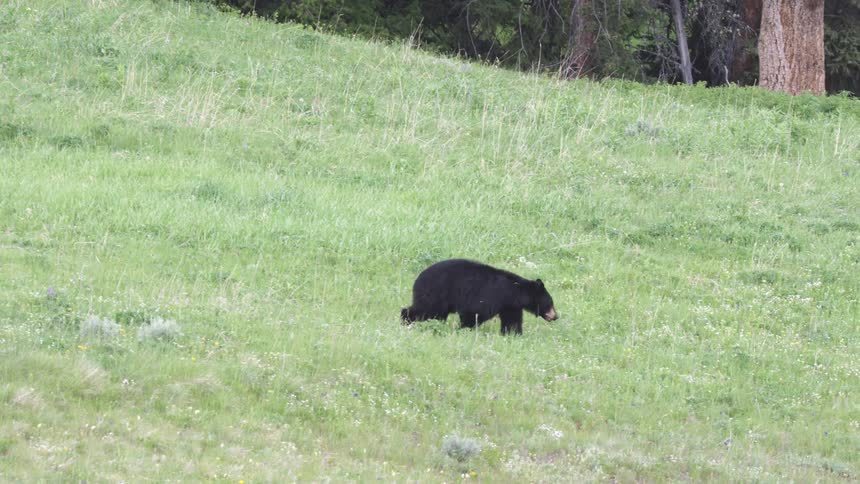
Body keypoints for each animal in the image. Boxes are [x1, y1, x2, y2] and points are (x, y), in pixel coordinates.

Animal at [400, 259, 558, 335]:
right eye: (550, 302)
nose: (556, 316)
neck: (513, 291)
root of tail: (418, 277)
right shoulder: (491, 296)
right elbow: (475, 312)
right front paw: (464, 329)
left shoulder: (510, 305)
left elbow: (512, 321)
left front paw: (513, 334)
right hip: (435, 293)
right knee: (425, 310)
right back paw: (405, 320)